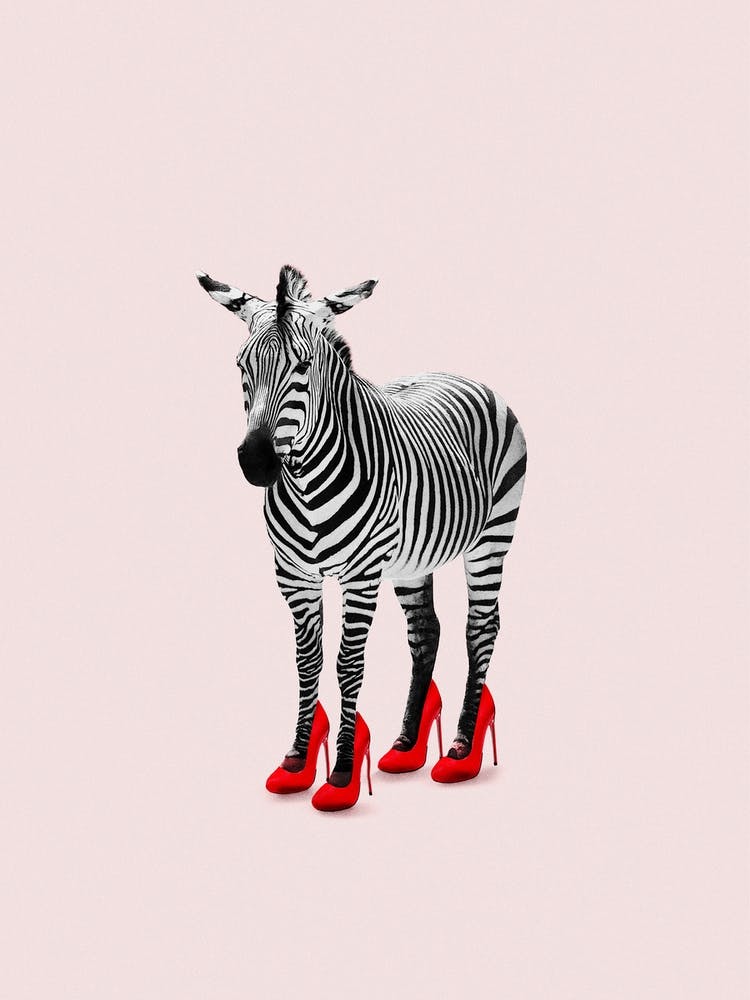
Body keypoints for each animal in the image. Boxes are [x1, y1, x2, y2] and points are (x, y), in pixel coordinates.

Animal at [196, 264, 527, 802]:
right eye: (242, 365)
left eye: (303, 365)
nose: (257, 462)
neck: (306, 483)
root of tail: (458, 373)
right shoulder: (293, 577)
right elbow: (308, 661)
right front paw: (296, 760)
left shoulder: (361, 575)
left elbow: (348, 663)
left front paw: (343, 772)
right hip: (414, 558)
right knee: (426, 632)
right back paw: (407, 746)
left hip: (492, 537)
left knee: (480, 627)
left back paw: (461, 750)